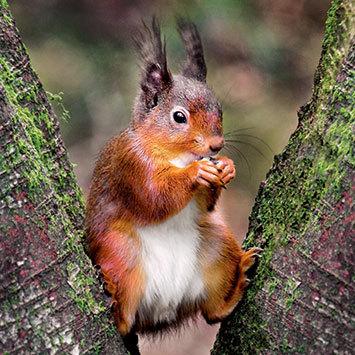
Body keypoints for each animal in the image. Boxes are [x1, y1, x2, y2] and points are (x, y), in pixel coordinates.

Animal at [85, 18, 260, 340]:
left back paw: (239, 278)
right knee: (124, 322)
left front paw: (226, 167)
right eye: (179, 117)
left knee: (212, 313)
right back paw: (115, 303)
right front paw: (197, 173)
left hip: (216, 244)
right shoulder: (131, 165)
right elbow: (154, 199)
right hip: (121, 252)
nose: (216, 145)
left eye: (220, 110)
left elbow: (206, 206)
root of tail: (162, 311)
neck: (177, 156)